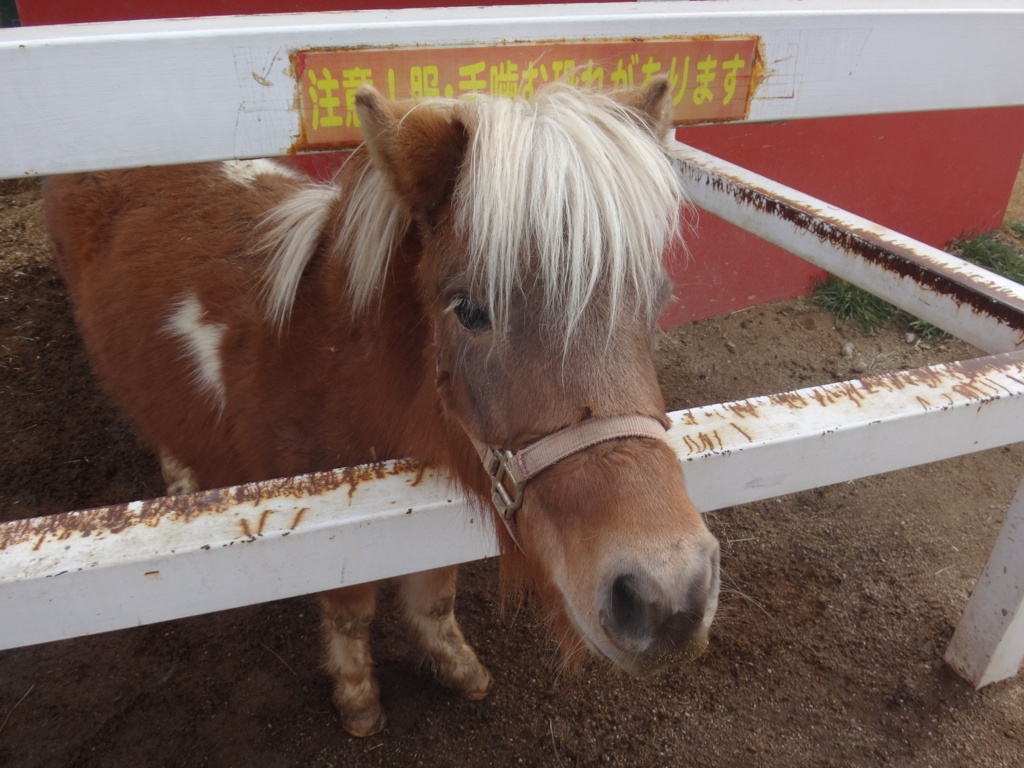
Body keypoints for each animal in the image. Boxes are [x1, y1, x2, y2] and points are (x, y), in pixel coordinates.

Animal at [44, 78, 716, 741]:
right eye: (468, 309)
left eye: (657, 298)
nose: (666, 598)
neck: (329, 363)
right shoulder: (333, 523)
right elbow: (351, 614)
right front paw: (358, 699)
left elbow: (434, 596)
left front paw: (454, 664)